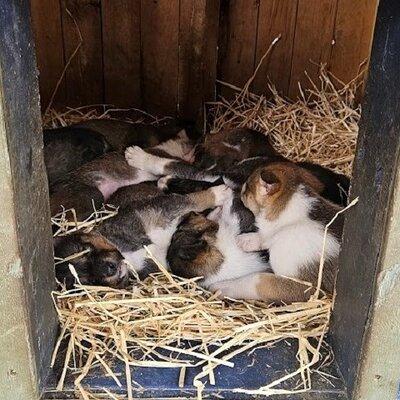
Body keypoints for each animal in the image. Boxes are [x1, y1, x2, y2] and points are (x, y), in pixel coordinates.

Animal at [209, 162, 344, 304]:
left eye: (246, 188)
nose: (232, 190)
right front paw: (246, 240)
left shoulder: (305, 287)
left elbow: (258, 281)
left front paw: (223, 287)